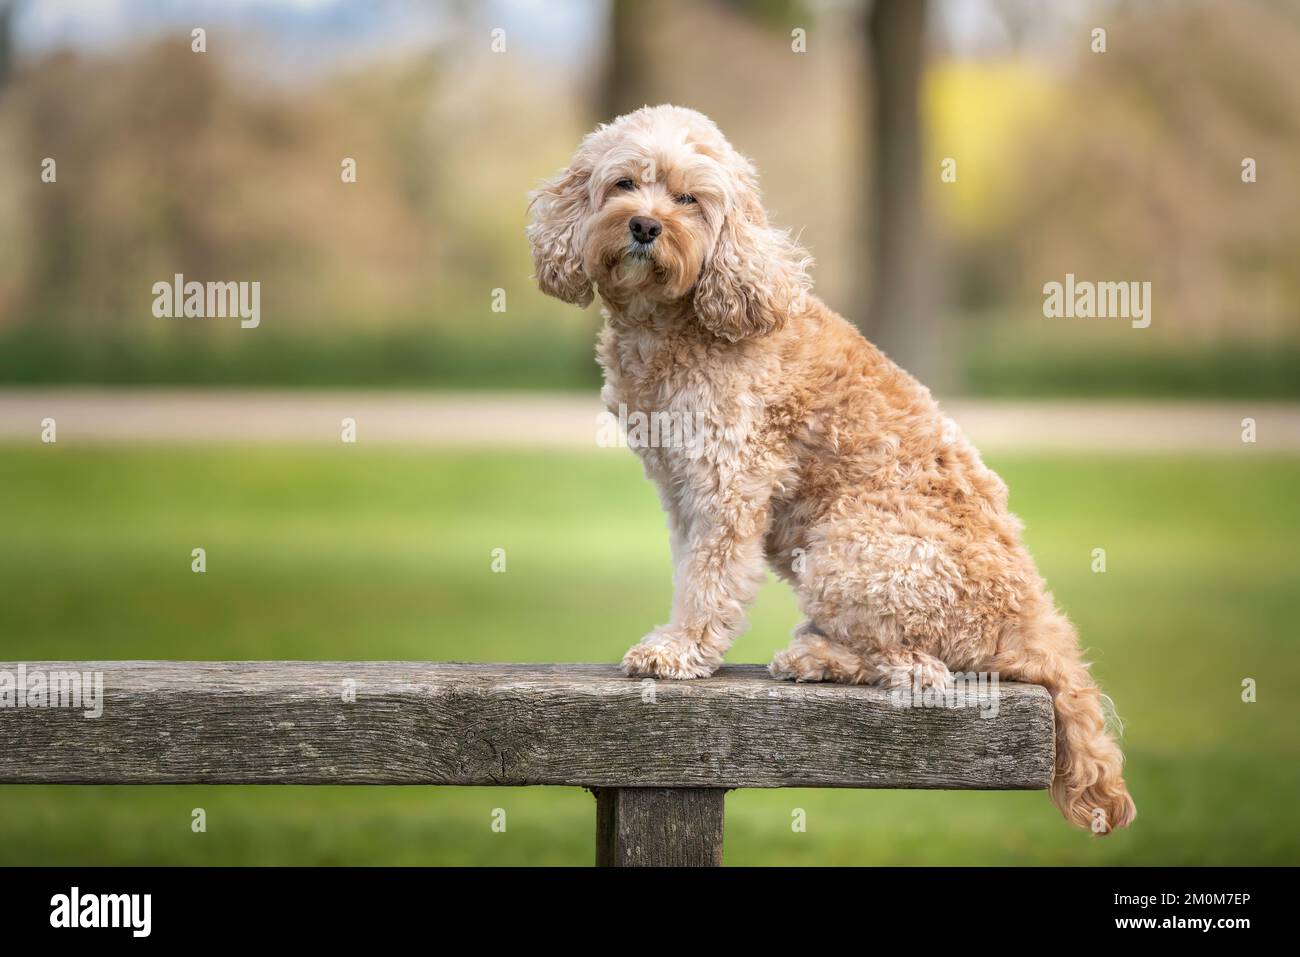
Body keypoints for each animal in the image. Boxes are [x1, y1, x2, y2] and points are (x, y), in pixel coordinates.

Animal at [522, 104, 1133, 832]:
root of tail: (1037, 622)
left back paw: (818, 656)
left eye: (689, 199)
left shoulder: (729, 478)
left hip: (850, 547)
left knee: (920, 668)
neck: (681, 317)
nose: (645, 225)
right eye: (622, 184)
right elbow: (692, 566)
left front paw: (678, 650)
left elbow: (711, 577)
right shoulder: (679, 487)